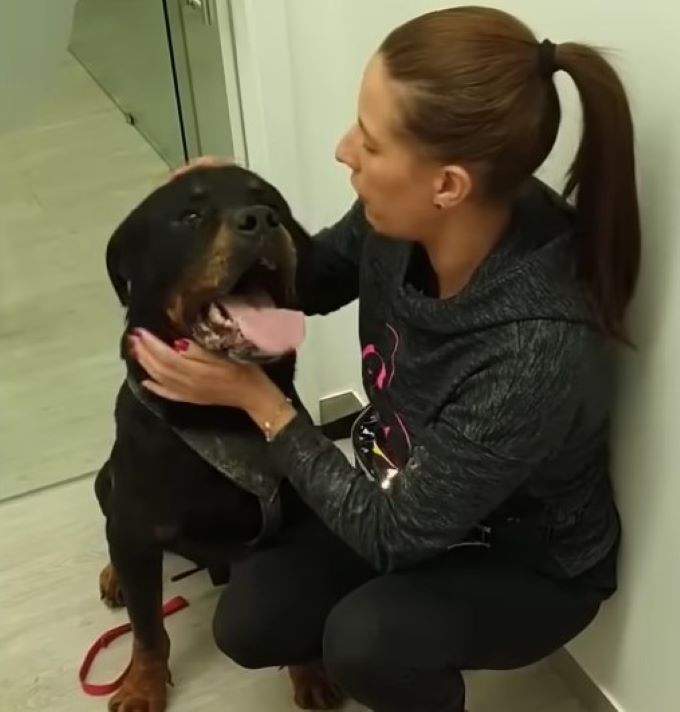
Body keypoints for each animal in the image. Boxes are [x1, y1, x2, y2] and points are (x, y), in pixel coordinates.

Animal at [93, 165, 342, 712]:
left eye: (273, 203)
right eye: (189, 215)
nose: (262, 220)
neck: (219, 419)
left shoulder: (297, 522)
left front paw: (310, 671)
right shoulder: (136, 527)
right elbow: (148, 628)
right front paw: (141, 684)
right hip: (105, 480)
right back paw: (113, 575)